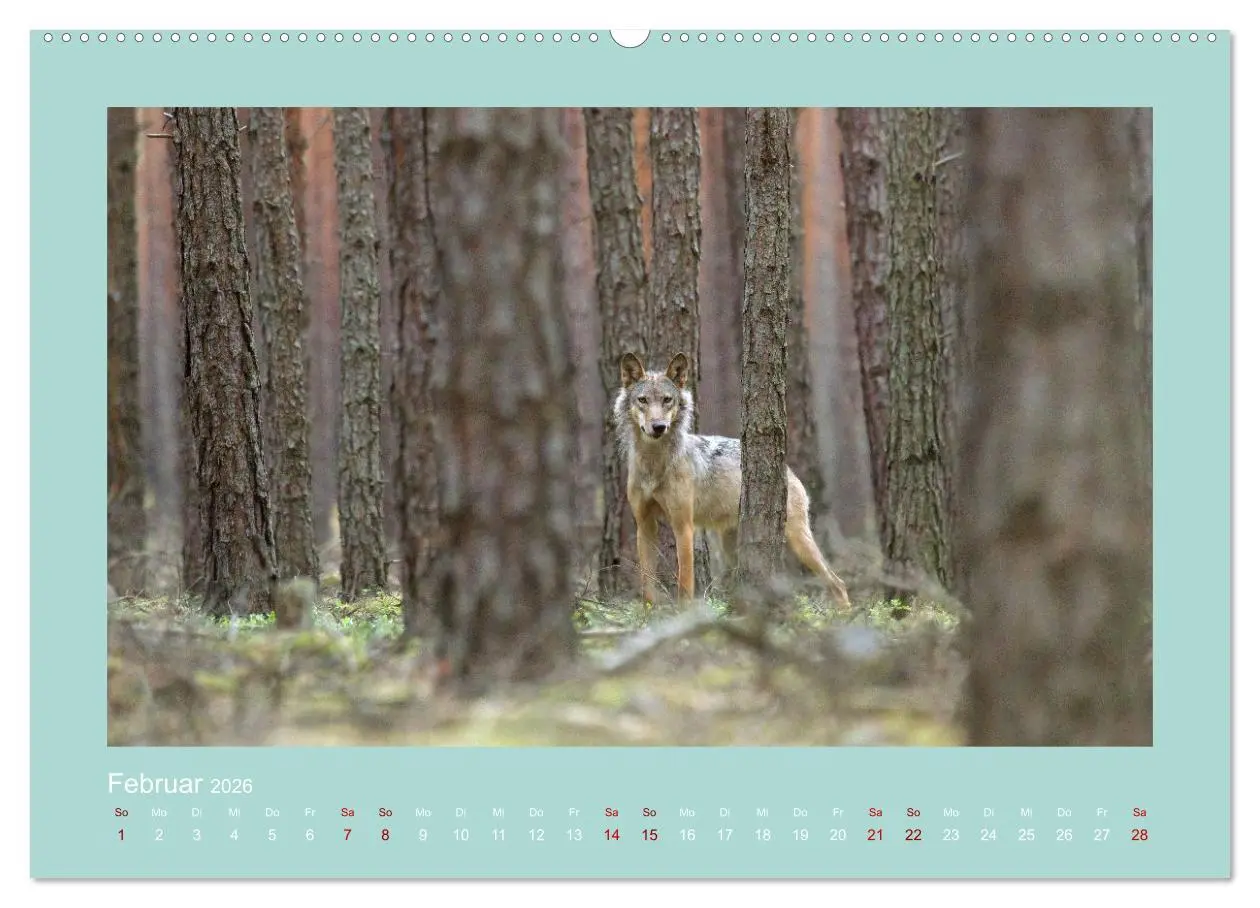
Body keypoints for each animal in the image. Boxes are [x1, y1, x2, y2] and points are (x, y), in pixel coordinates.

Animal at [614, 351, 852, 611]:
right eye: (643, 400)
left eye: (667, 400)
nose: (659, 427)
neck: (653, 464)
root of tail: (788, 470)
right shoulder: (645, 525)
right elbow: (647, 585)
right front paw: (648, 616)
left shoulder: (684, 526)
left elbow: (685, 585)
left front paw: (684, 616)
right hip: (733, 546)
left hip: (798, 540)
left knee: (838, 583)